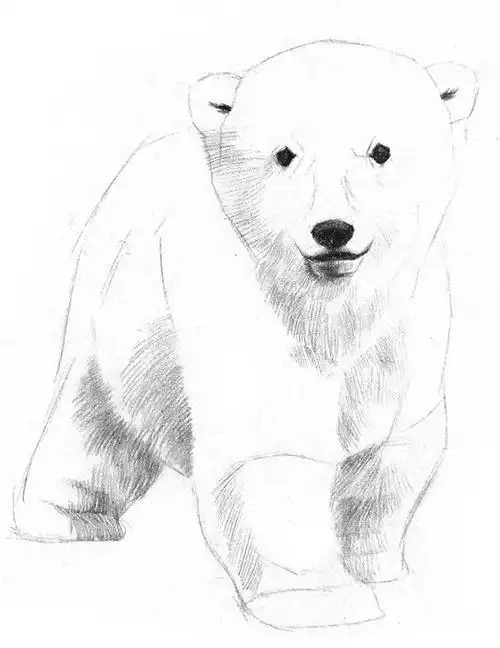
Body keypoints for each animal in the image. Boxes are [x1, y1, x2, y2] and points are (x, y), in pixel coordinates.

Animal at [13, 41, 478, 629]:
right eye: (284, 154)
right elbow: (270, 450)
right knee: (88, 413)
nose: (333, 230)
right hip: (116, 295)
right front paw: (322, 599)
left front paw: (376, 567)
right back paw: (71, 519)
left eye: (381, 150)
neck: (330, 306)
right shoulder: (245, 309)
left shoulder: (409, 327)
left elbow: (394, 448)